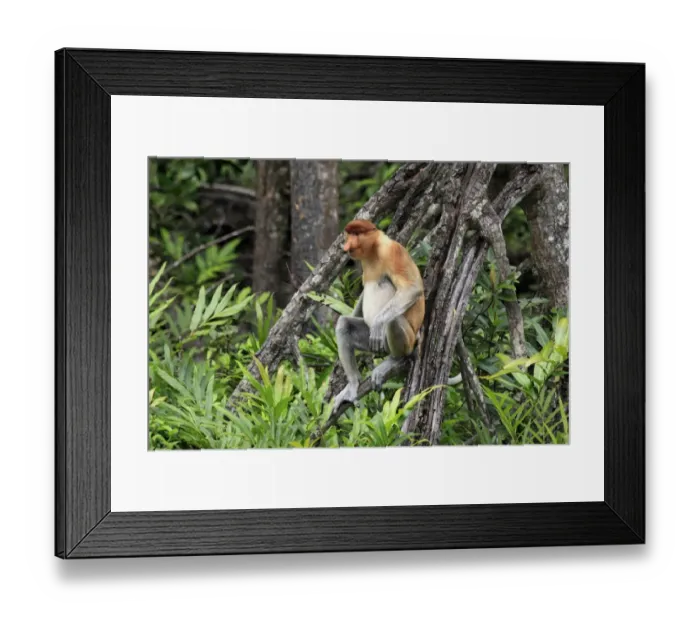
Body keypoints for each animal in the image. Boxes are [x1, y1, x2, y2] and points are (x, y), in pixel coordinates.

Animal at [333, 219, 426, 410]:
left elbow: (412, 288)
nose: (346, 245)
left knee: (393, 320)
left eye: (356, 234)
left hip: (408, 339)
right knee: (344, 324)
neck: (373, 250)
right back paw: (352, 386)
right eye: (349, 234)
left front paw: (377, 324)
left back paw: (393, 360)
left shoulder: (392, 251)